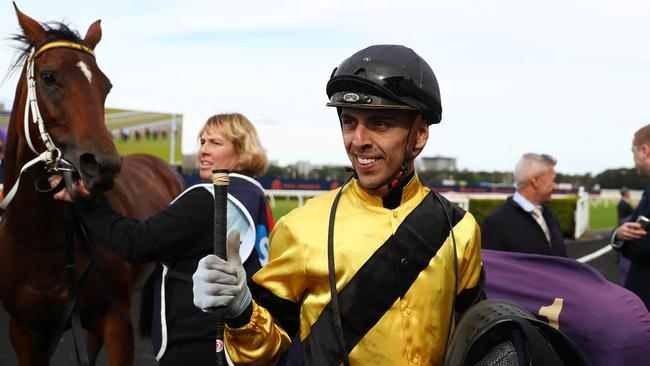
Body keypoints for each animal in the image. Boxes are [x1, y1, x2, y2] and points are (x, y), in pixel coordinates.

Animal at [0, 5, 184, 366]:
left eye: (106, 86)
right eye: (48, 77)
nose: (103, 164)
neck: (42, 243)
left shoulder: (117, 323)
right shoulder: (25, 332)